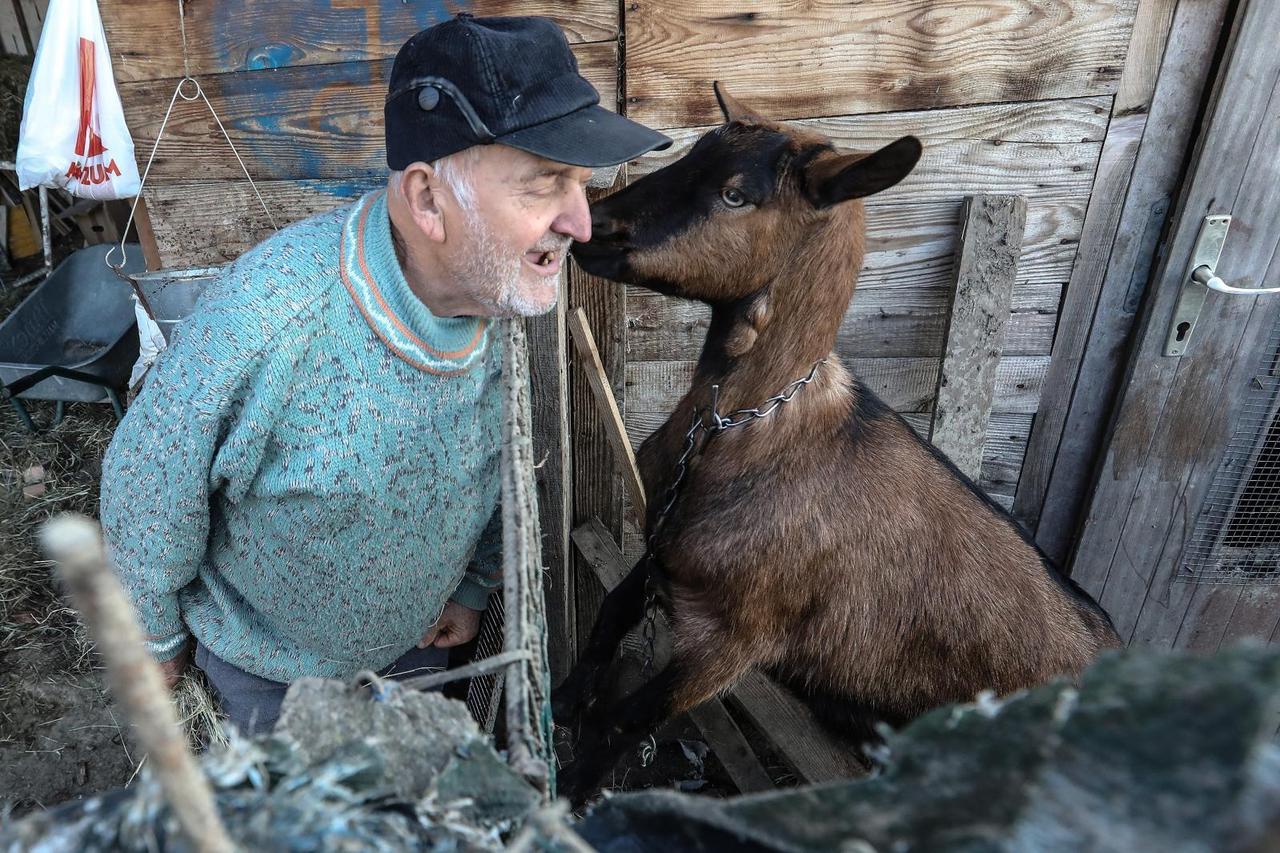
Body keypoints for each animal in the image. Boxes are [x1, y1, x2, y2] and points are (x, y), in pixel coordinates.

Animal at [555, 83, 1116, 799]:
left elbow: (626, 721)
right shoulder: (661, 548)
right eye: (690, 156)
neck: (747, 429)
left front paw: (568, 788)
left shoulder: (734, 639)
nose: (592, 227)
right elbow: (608, 616)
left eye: (736, 195)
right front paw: (565, 698)